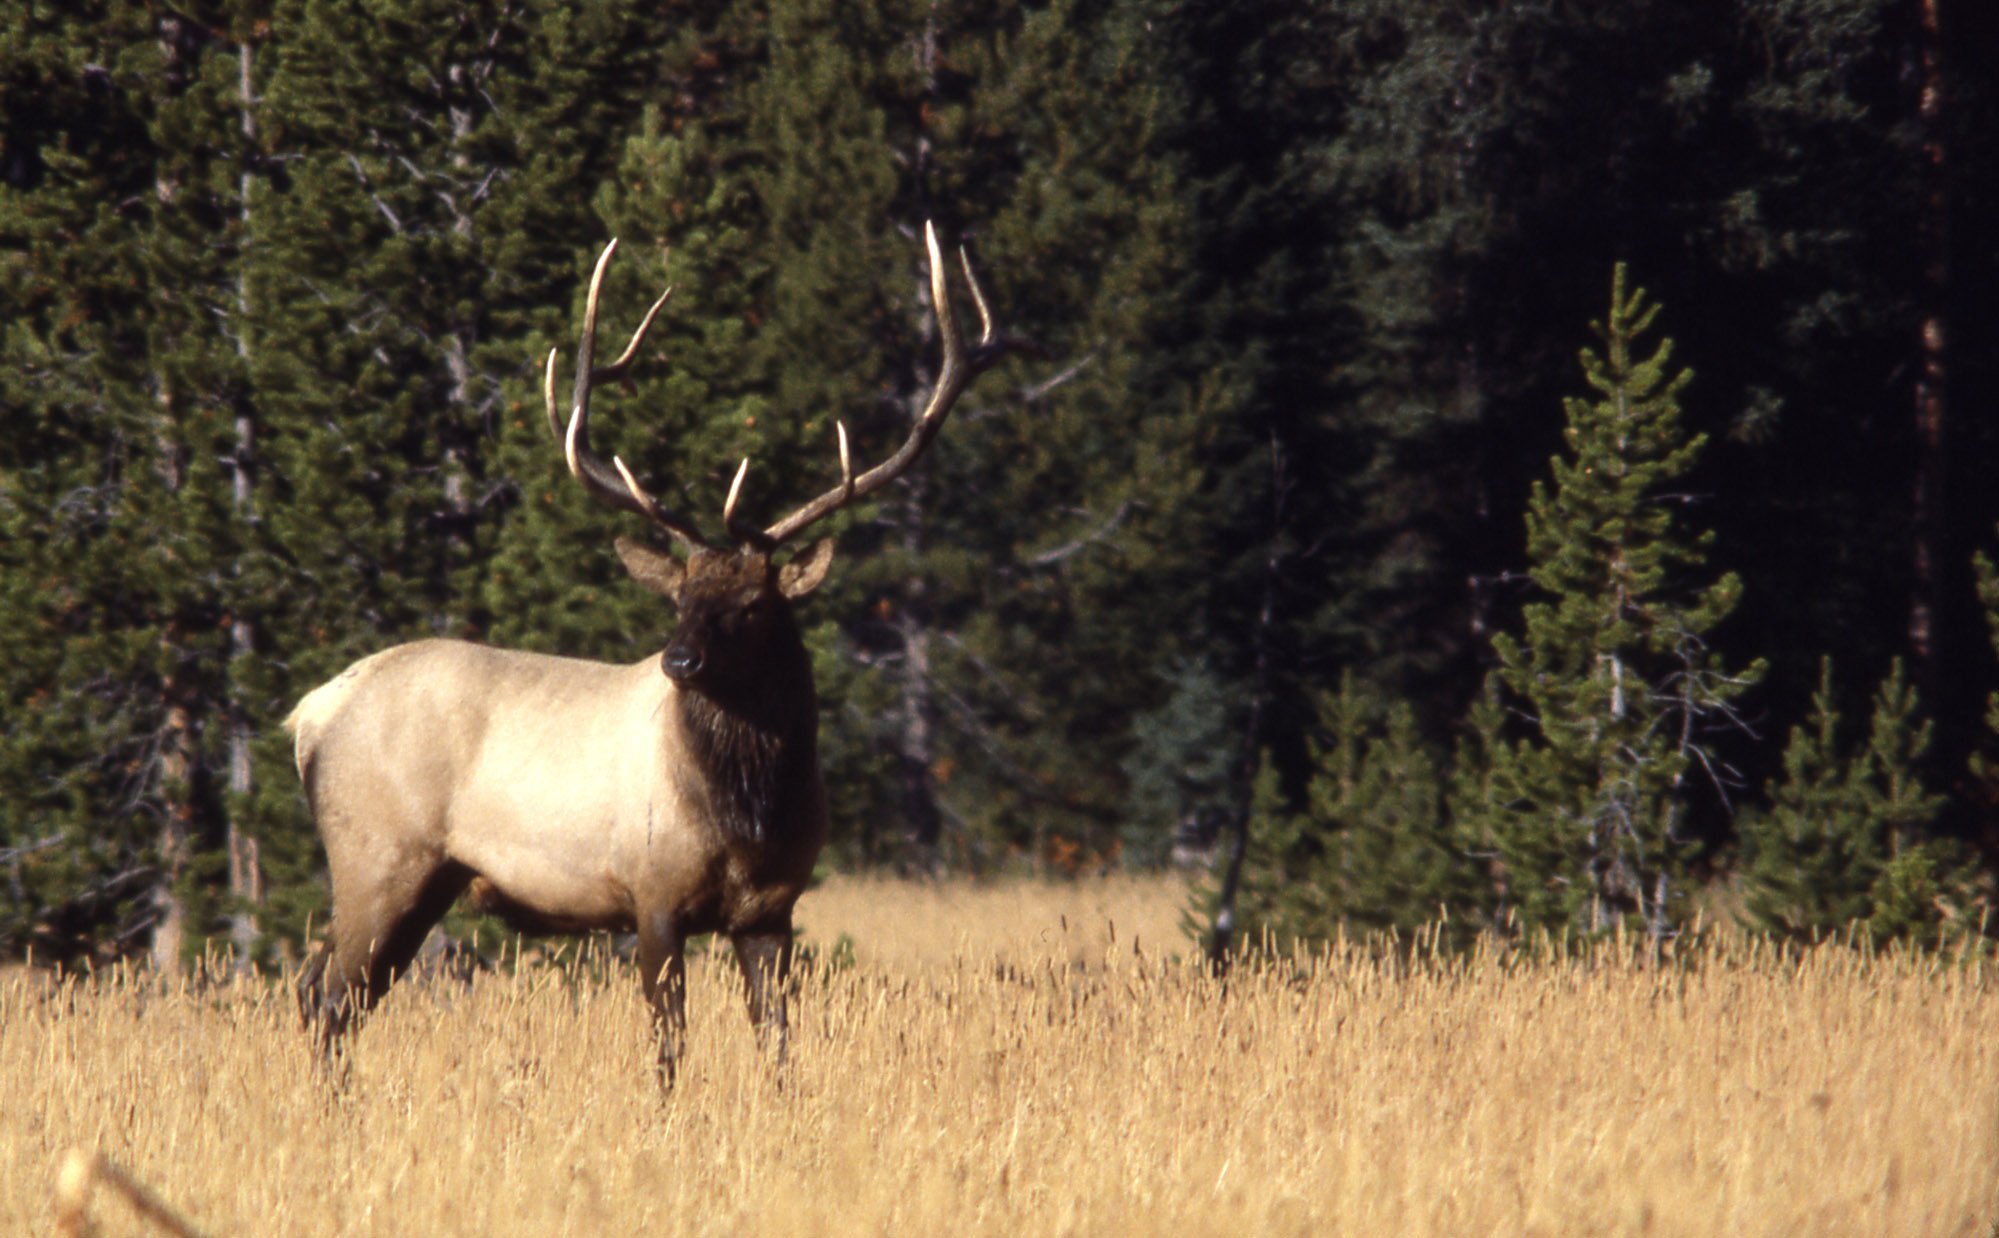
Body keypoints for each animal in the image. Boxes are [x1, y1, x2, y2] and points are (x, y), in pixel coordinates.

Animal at [289, 223, 1009, 1082]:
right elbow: (669, 1044)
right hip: (377, 855)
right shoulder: (651, 892)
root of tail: (309, 715)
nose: (679, 663)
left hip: (423, 878)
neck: (744, 817)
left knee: (322, 990)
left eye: (753, 605)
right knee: (331, 995)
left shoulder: (772, 909)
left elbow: (778, 1042)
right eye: (680, 598)